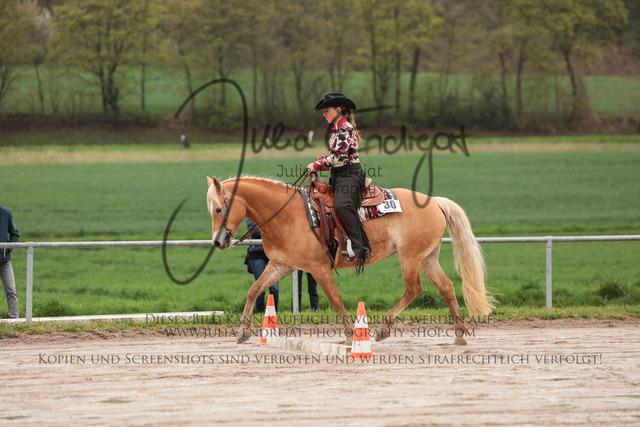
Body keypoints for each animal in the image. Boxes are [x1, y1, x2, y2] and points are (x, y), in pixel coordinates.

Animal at [206, 175, 493, 346]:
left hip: (410, 258)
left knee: (414, 288)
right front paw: (242, 332)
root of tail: (434, 201)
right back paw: (459, 336)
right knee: (446, 288)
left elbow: (335, 298)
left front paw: (348, 335)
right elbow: (254, 290)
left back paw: (384, 329)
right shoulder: (281, 265)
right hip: (427, 258)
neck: (287, 215)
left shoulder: (319, 268)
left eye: (219, 208)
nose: (218, 242)